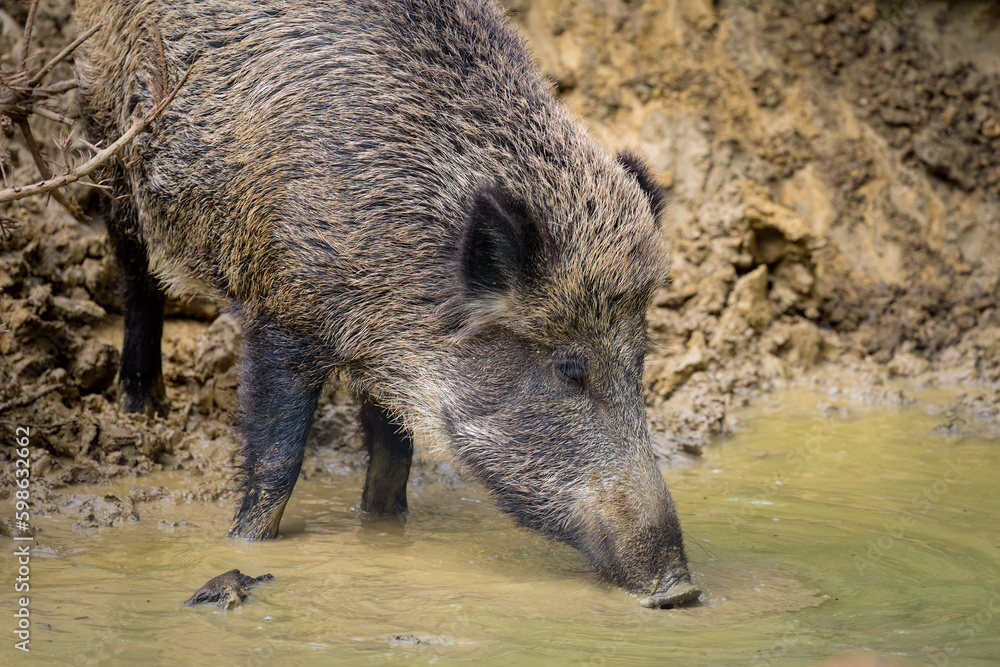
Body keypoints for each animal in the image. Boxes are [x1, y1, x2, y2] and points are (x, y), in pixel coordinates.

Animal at [76, 0, 700, 607]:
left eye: (640, 363)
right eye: (569, 369)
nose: (681, 590)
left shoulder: (386, 353)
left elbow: (393, 463)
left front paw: (383, 535)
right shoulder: (283, 311)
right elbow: (276, 460)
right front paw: (244, 546)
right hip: (112, 153)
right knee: (137, 280)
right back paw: (140, 407)